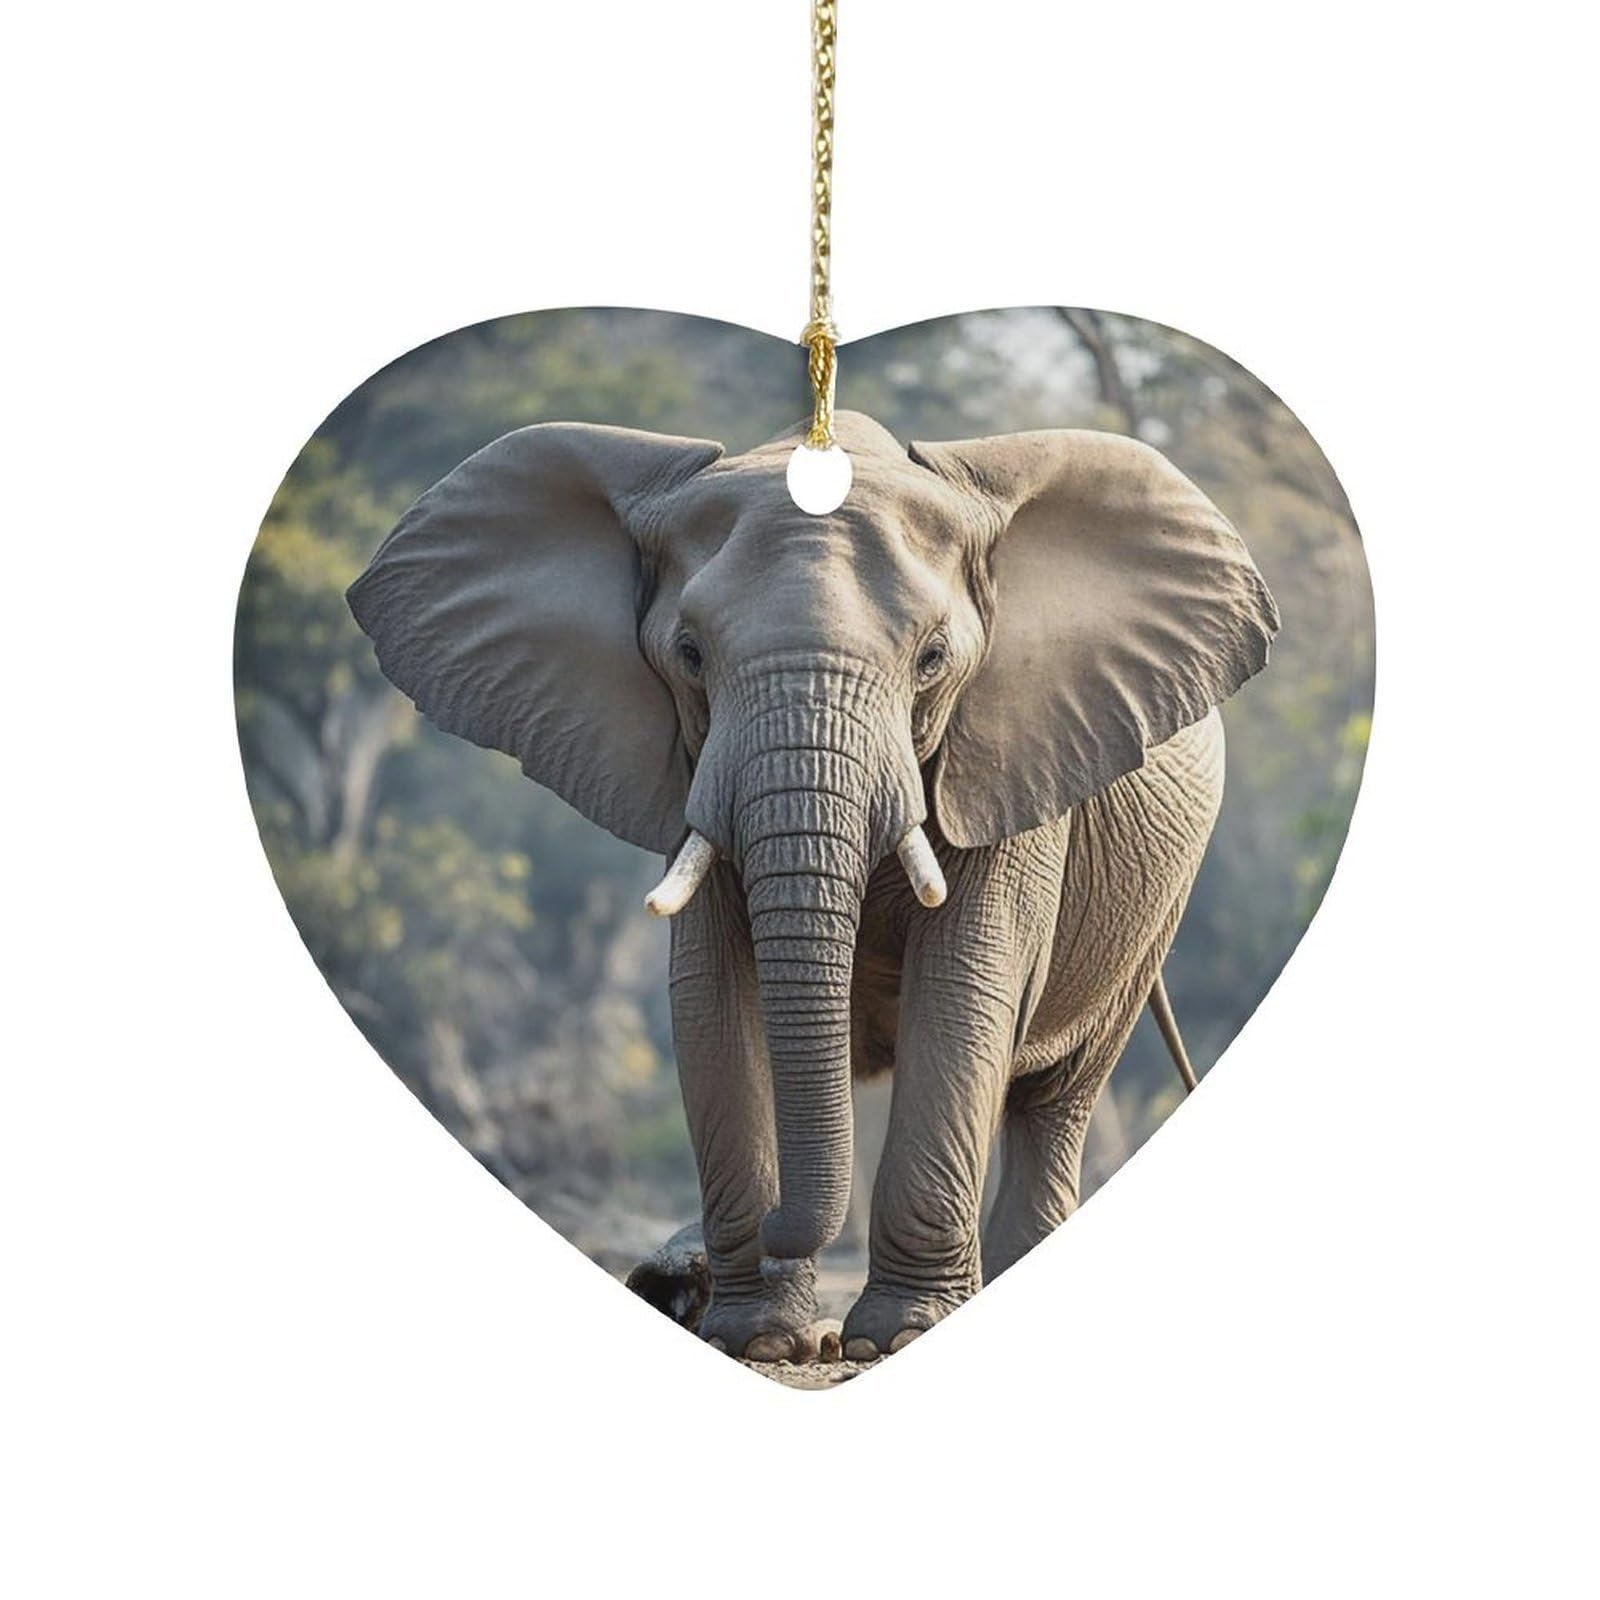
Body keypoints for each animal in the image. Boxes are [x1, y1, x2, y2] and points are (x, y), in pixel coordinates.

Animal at [347, 410, 1278, 1363]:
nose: (680, 1265)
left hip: (1155, 905)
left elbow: (965, 986)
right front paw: (759, 1339)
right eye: (689, 654)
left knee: (1057, 1095)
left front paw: (888, 1338)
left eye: (933, 659)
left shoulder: (1008, 762)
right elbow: (713, 995)